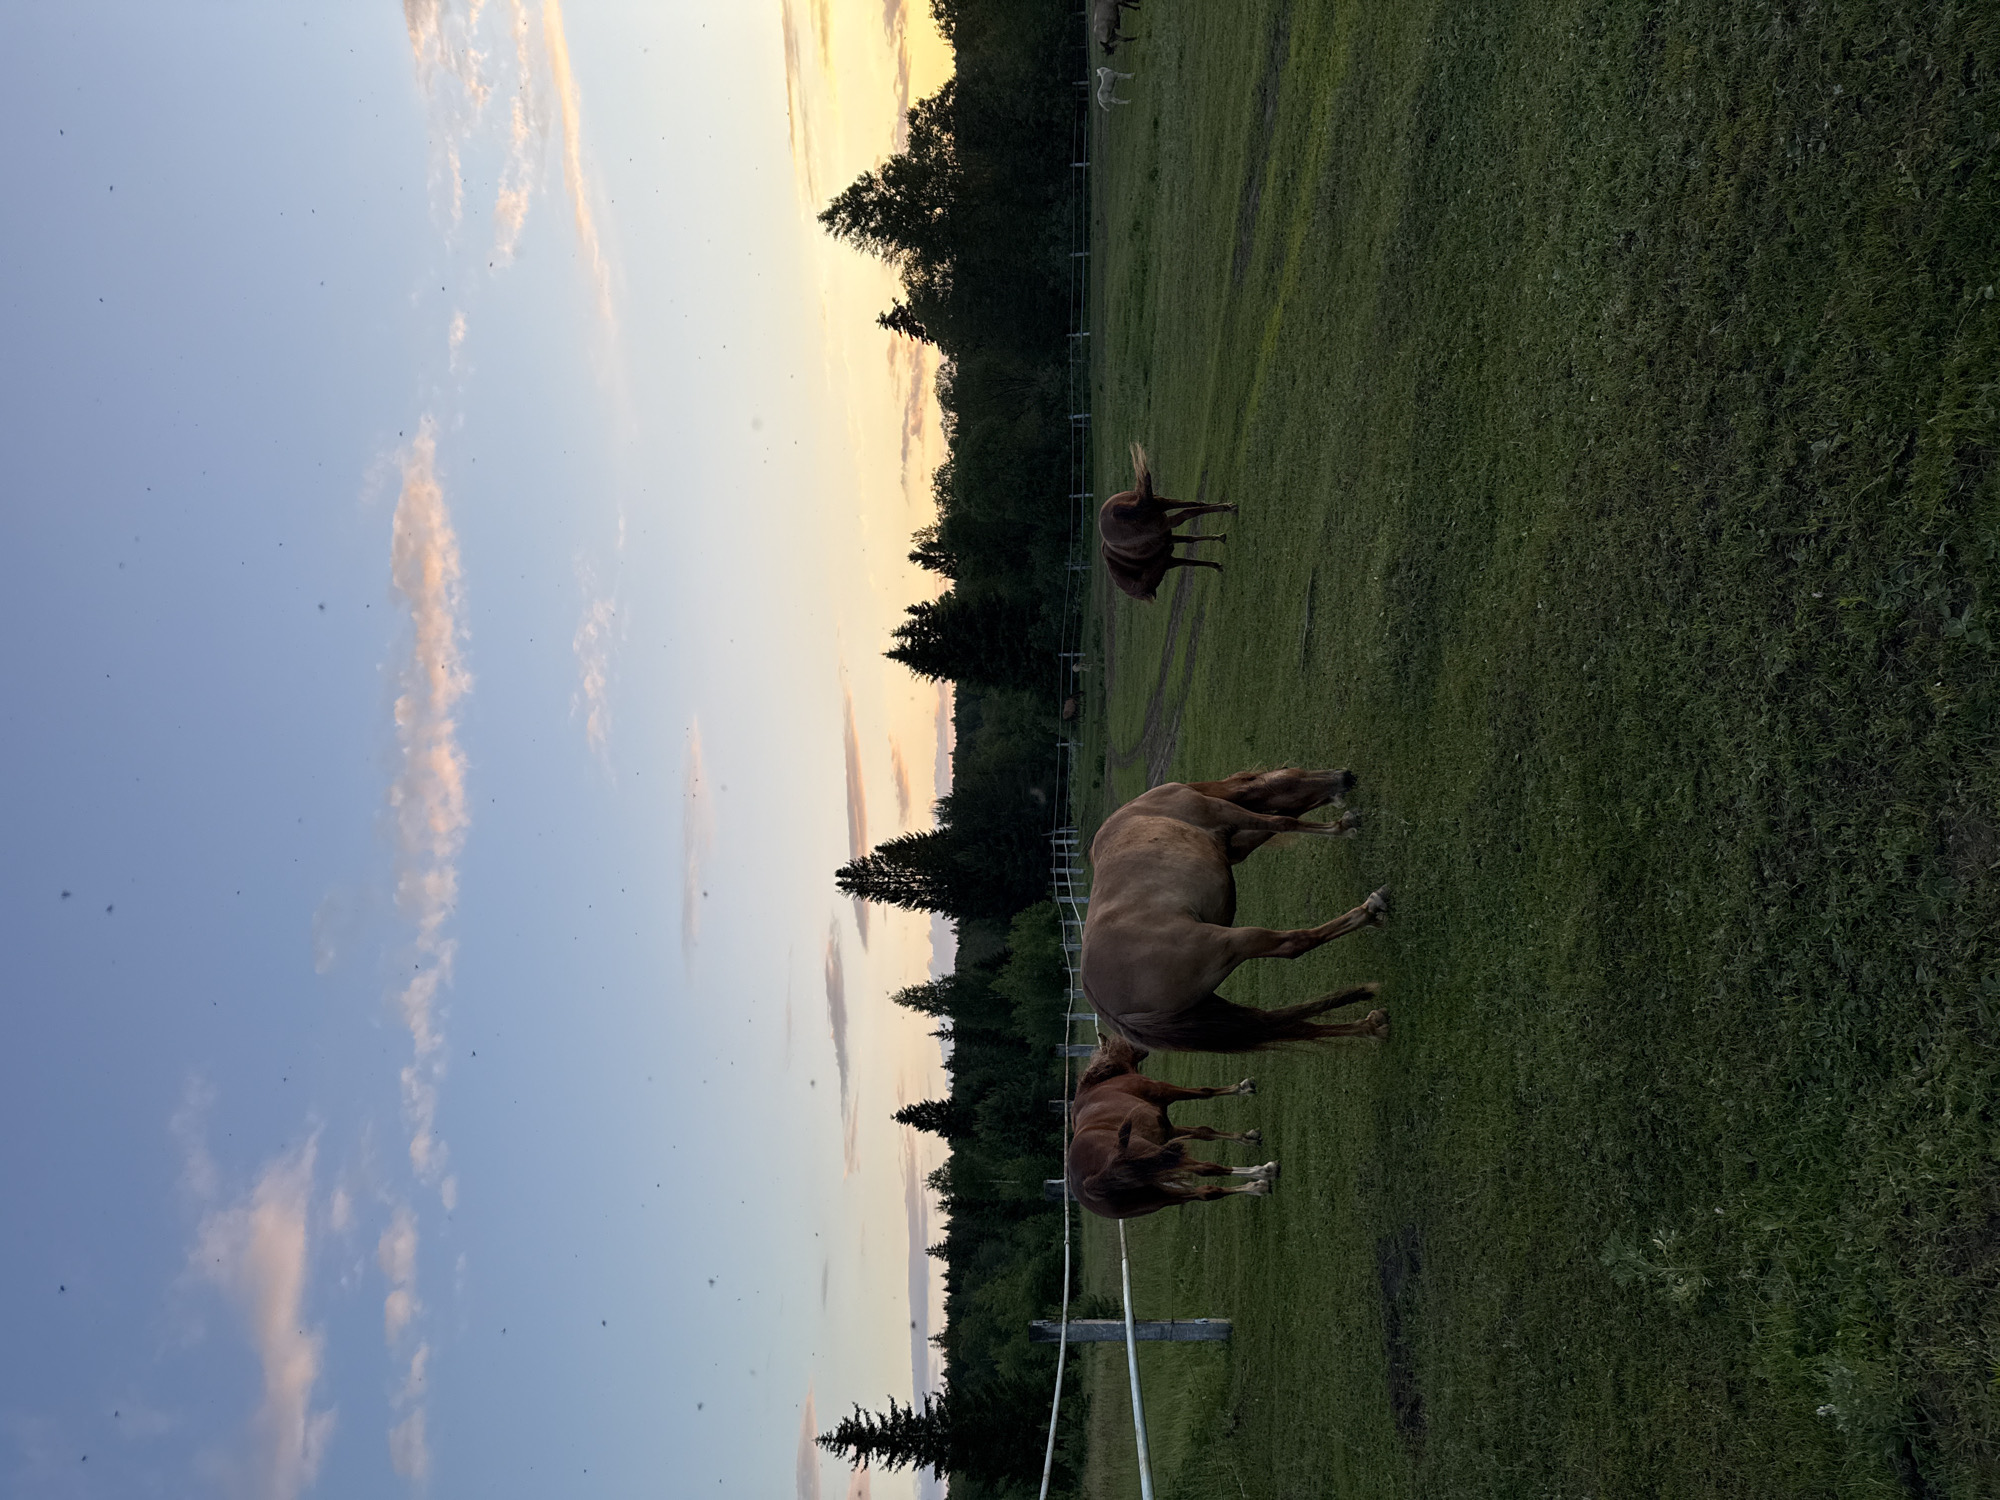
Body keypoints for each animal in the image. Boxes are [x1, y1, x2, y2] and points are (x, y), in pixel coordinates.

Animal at [1067, 1032, 1276, 1218]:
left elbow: (1204, 1132)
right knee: (1206, 1169)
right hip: (1163, 1159)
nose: (1145, 1044)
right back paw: (1263, 1171)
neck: (1103, 1083)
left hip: (1160, 1194)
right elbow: (1205, 1092)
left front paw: (1247, 1138)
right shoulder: (1165, 1091)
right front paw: (1243, 1087)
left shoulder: (1167, 1131)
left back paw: (1257, 1186)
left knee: (1207, 1192)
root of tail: (1090, 1184)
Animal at [1082, 766, 1391, 1052]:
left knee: (1274, 1023)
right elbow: (1284, 821)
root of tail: (1110, 1011)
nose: (1345, 776)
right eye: (1292, 776)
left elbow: (1277, 823)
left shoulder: (1233, 845)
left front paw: (1343, 823)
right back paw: (1368, 910)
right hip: (1233, 942)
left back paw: (1370, 1025)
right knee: (1294, 944)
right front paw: (1343, 827)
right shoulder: (1222, 811)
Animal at [1099, 443, 1236, 602]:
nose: (1170, 548)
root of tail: (1116, 511)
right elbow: (1190, 550)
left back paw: (1228, 507)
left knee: (1190, 510)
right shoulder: (1167, 548)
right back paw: (1226, 507)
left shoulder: (1166, 551)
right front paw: (1216, 558)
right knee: (1193, 506)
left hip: (1163, 512)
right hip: (1163, 508)